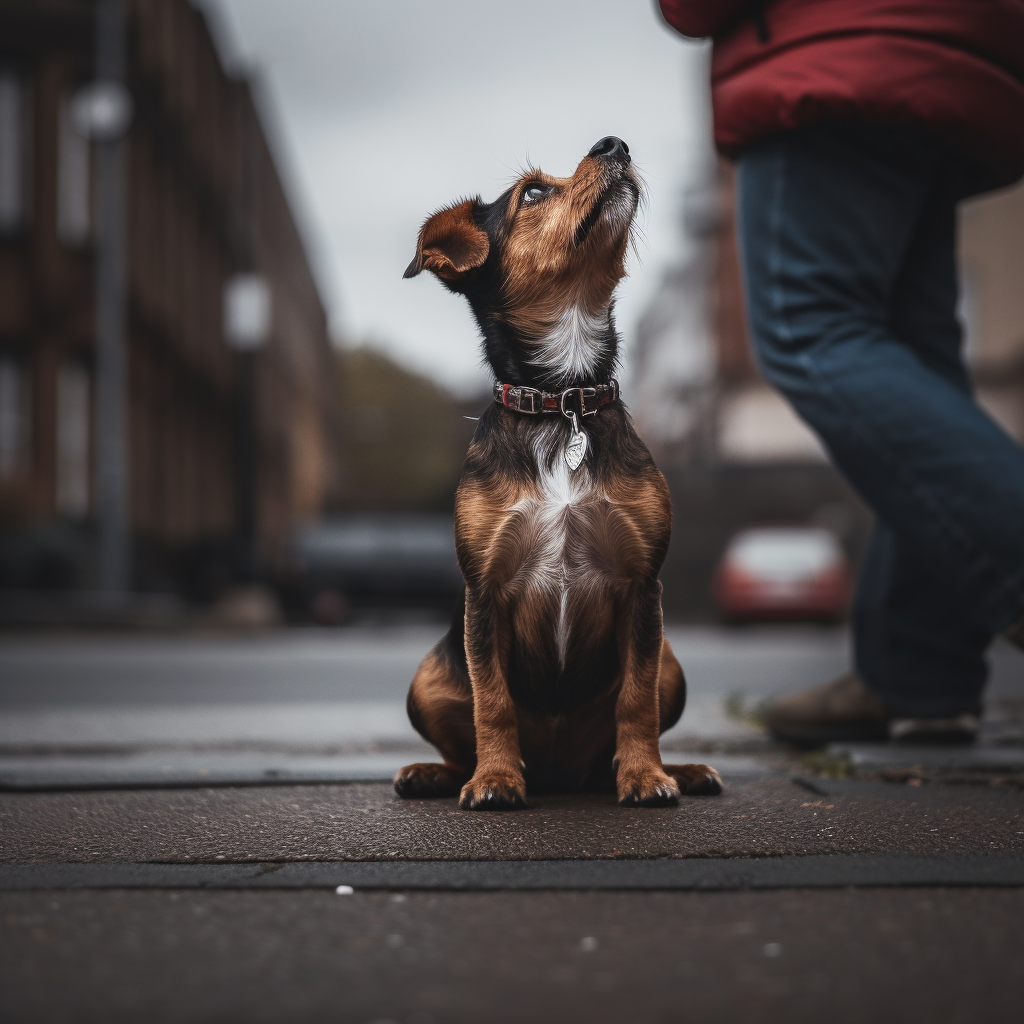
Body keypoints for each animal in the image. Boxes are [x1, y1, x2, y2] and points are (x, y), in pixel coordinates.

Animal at [391, 134, 720, 806]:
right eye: (534, 192)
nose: (615, 143)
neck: (562, 399)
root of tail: (560, 773)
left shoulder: (643, 586)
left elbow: (636, 701)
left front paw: (646, 776)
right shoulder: (485, 592)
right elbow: (492, 701)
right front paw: (495, 779)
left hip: (671, 662)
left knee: (628, 724)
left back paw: (678, 770)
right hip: (426, 679)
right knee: (460, 740)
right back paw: (439, 773)